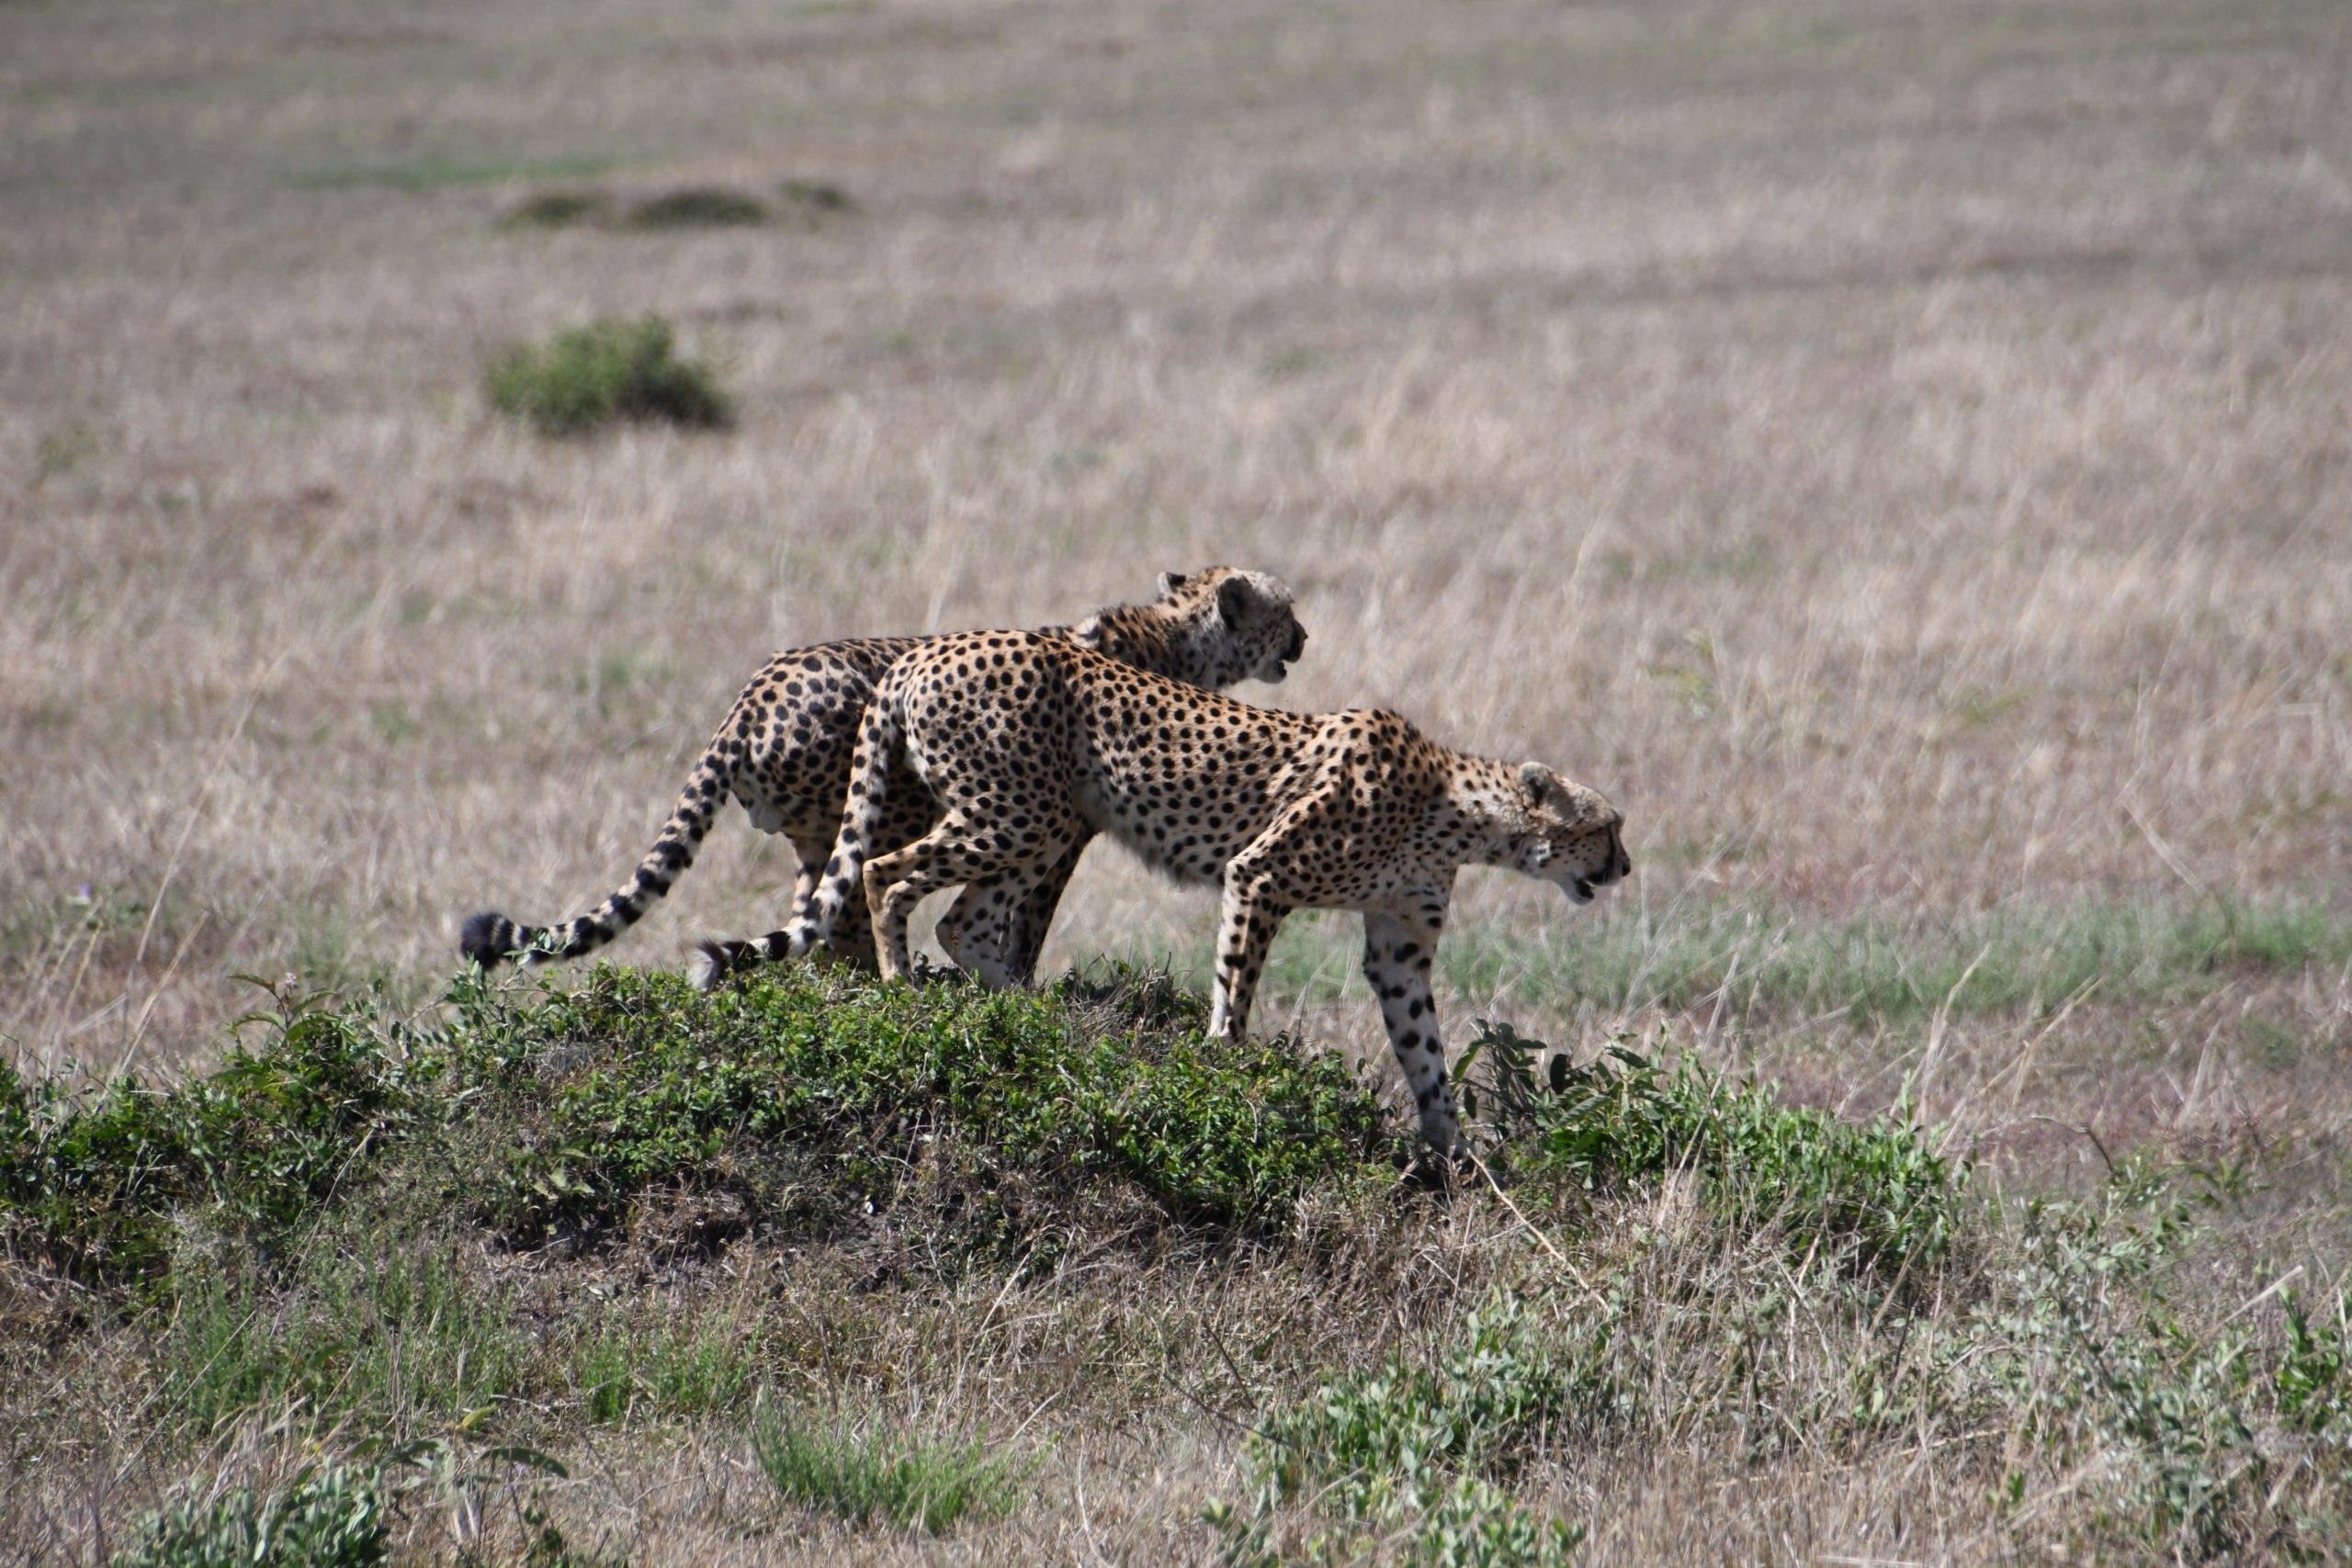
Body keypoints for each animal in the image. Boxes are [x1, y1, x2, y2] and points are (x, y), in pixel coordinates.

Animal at [456, 566, 1307, 982]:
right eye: (1286, 608)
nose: (1305, 637)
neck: (1175, 637)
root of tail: (750, 695)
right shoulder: (1067, 828)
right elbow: (1026, 923)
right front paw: (1019, 983)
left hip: (821, 829)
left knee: (817, 917)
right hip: (893, 804)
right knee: (859, 904)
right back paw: (888, 981)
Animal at [780, 629, 1627, 1161]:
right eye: (1607, 825)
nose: (1624, 866)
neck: (1454, 809)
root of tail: (928, 649)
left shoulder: (1399, 946)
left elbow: (1425, 1048)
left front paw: (1453, 1147)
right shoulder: (1260, 874)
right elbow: (1236, 986)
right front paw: (1224, 1063)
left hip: (1041, 818)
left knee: (966, 922)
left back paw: (1028, 1012)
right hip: (1015, 811)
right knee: (885, 872)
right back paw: (901, 984)